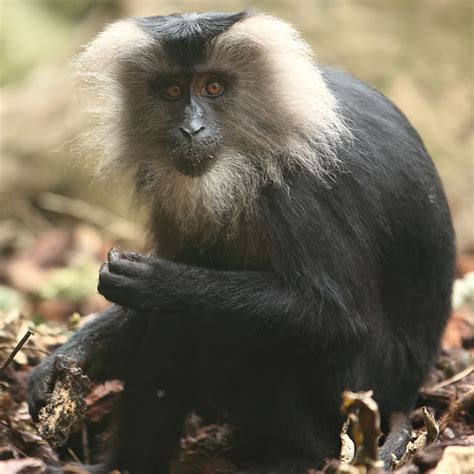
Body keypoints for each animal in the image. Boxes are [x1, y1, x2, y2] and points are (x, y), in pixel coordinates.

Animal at [27, 11, 458, 474]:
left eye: (213, 87)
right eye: (172, 90)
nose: (191, 129)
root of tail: (407, 393)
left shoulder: (300, 186)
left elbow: (340, 317)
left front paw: (162, 284)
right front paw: (67, 359)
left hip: (358, 385)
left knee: (202, 325)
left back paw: (292, 457)